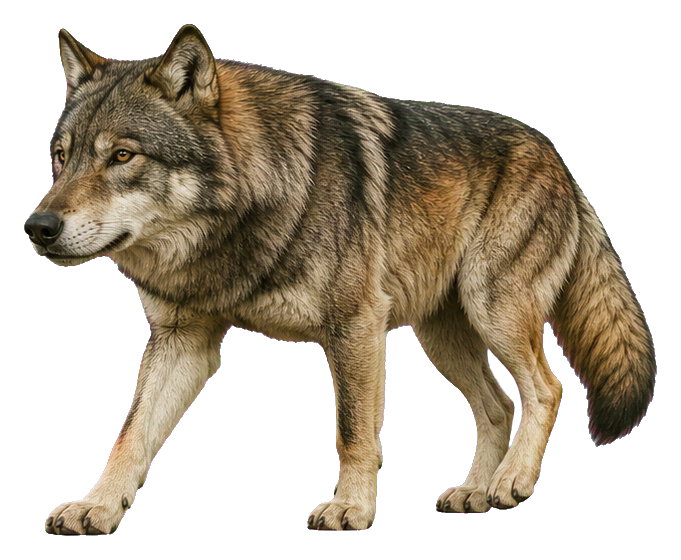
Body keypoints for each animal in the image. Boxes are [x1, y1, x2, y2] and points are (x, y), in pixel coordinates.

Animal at [27, 25, 655, 533]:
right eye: (61, 156)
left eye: (122, 156)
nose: (38, 227)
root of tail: (558, 159)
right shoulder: (183, 342)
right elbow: (129, 436)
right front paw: (96, 506)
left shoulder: (356, 328)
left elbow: (352, 432)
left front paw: (351, 507)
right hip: (442, 339)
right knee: (498, 406)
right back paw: (474, 491)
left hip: (492, 311)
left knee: (546, 389)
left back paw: (511, 481)